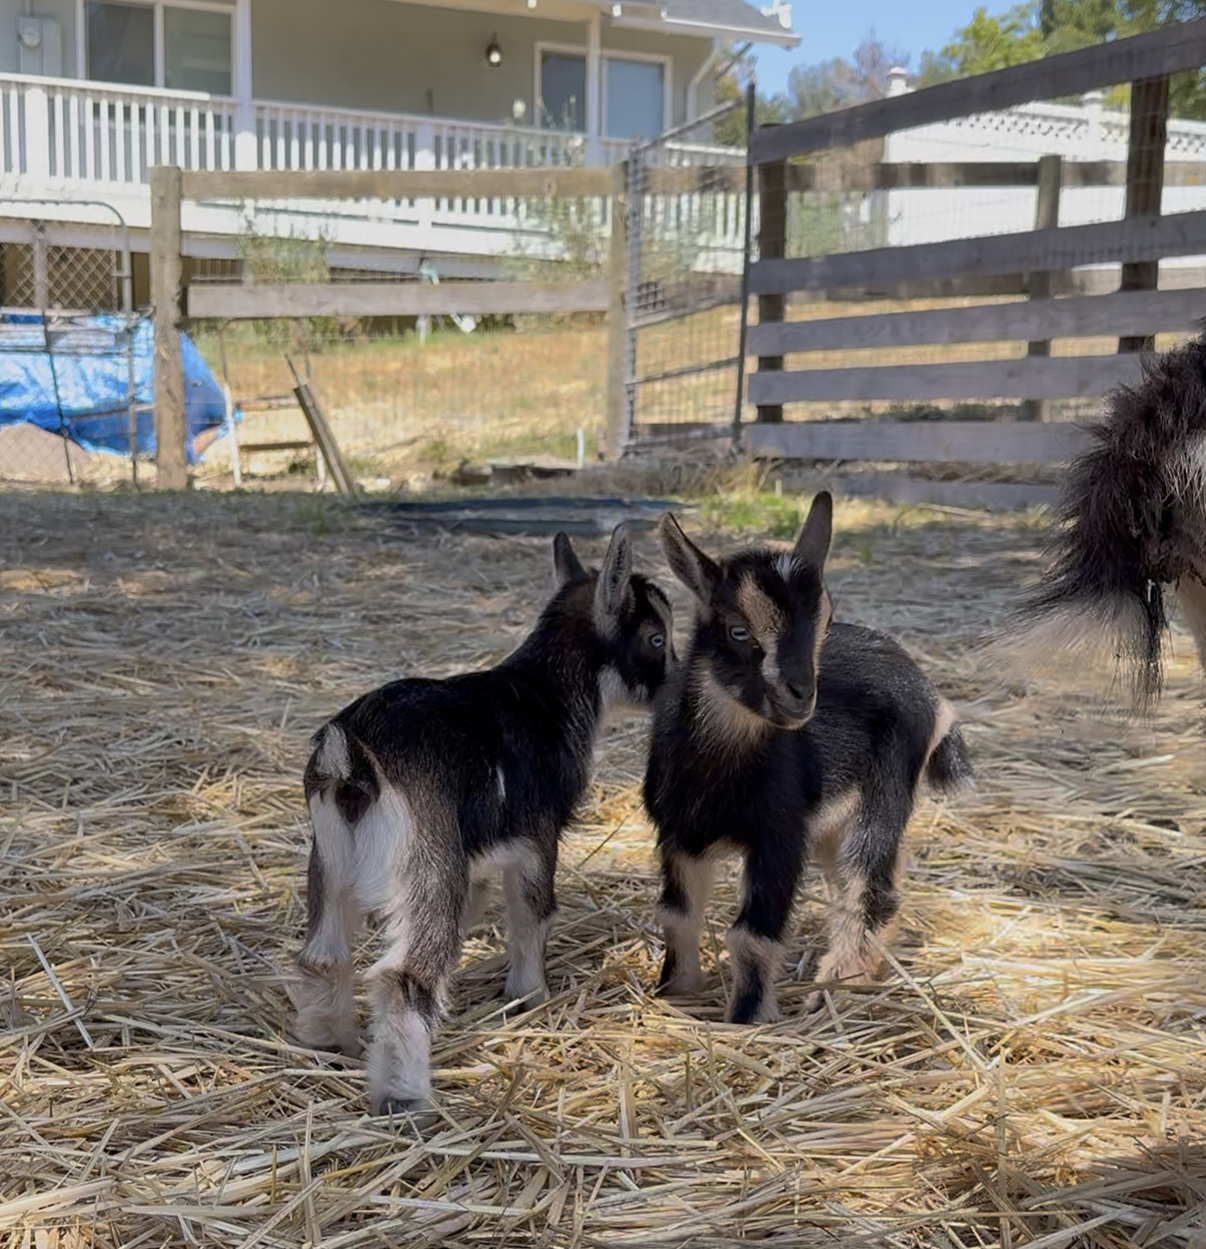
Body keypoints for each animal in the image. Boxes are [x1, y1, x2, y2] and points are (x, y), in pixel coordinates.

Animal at [289, 524, 674, 1114]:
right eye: (656, 638)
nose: (679, 688)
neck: (548, 695)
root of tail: (352, 763)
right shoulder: (538, 839)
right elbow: (532, 914)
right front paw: (529, 994)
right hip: (426, 862)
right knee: (406, 978)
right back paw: (406, 1099)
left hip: (329, 863)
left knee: (323, 956)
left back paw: (331, 1044)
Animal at [642, 493, 974, 1023]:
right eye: (738, 630)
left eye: (823, 623)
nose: (801, 696)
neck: (716, 770)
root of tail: (930, 692)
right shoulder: (678, 835)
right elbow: (677, 916)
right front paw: (676, 991)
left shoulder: (779, 836)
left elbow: (751, 937)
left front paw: (745, 1019)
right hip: (834, 824)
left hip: (884, 797)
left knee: (869, 888)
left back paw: (837, 989)